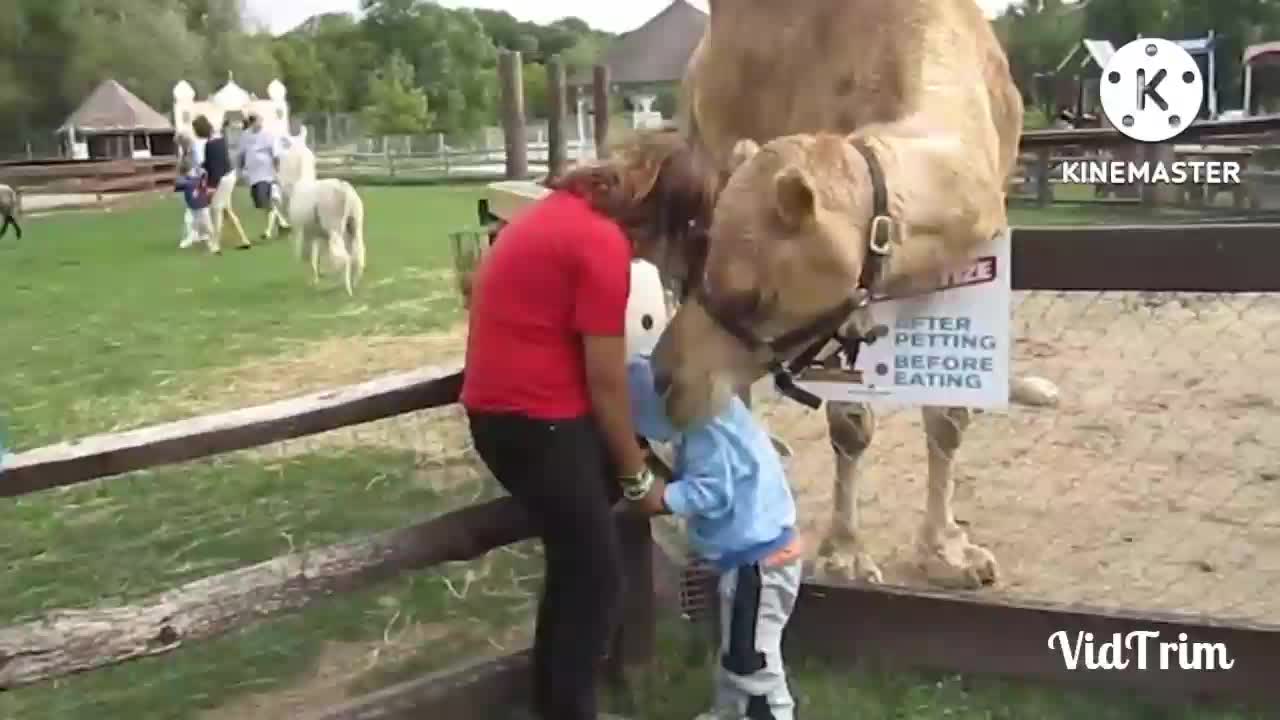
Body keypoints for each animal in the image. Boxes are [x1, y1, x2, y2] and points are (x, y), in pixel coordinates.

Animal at [650, 0, 1059, 586]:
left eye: (754, 297)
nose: (665, 380)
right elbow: (851, 421)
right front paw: (845, 554)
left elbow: (949, 413)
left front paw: (949, 553)